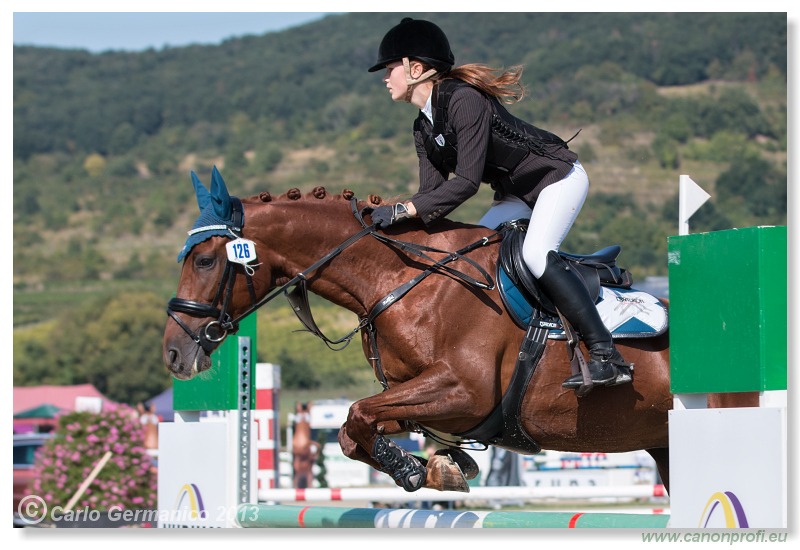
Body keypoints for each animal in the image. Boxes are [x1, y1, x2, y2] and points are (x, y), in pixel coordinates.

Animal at [161, 171, 756, 496]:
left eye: (208, 260)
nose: (174, 352)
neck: (400, 278)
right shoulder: (420, 396)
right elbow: (357, 429)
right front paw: (439, 467)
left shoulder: (464, 391)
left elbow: (356, 415)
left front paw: (423, 470)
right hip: (665, 446)